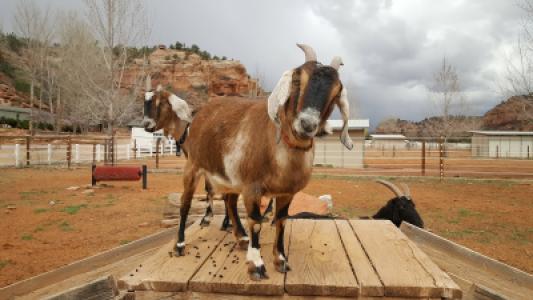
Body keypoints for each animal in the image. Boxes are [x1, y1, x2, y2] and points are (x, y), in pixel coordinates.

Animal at [174, 44, 354, 282]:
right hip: (193, 166)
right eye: (298, 79)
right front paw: (257, 265)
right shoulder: (253, 188)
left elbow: (281, 221)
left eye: (336, 92)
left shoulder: (286, 193)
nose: (307, 124)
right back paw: (179, 245)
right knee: (185, 203)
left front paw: (281, 260)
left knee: (230, 202)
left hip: (231, 178)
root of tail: (201, 113)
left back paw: (241, 238)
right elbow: (256, 222)